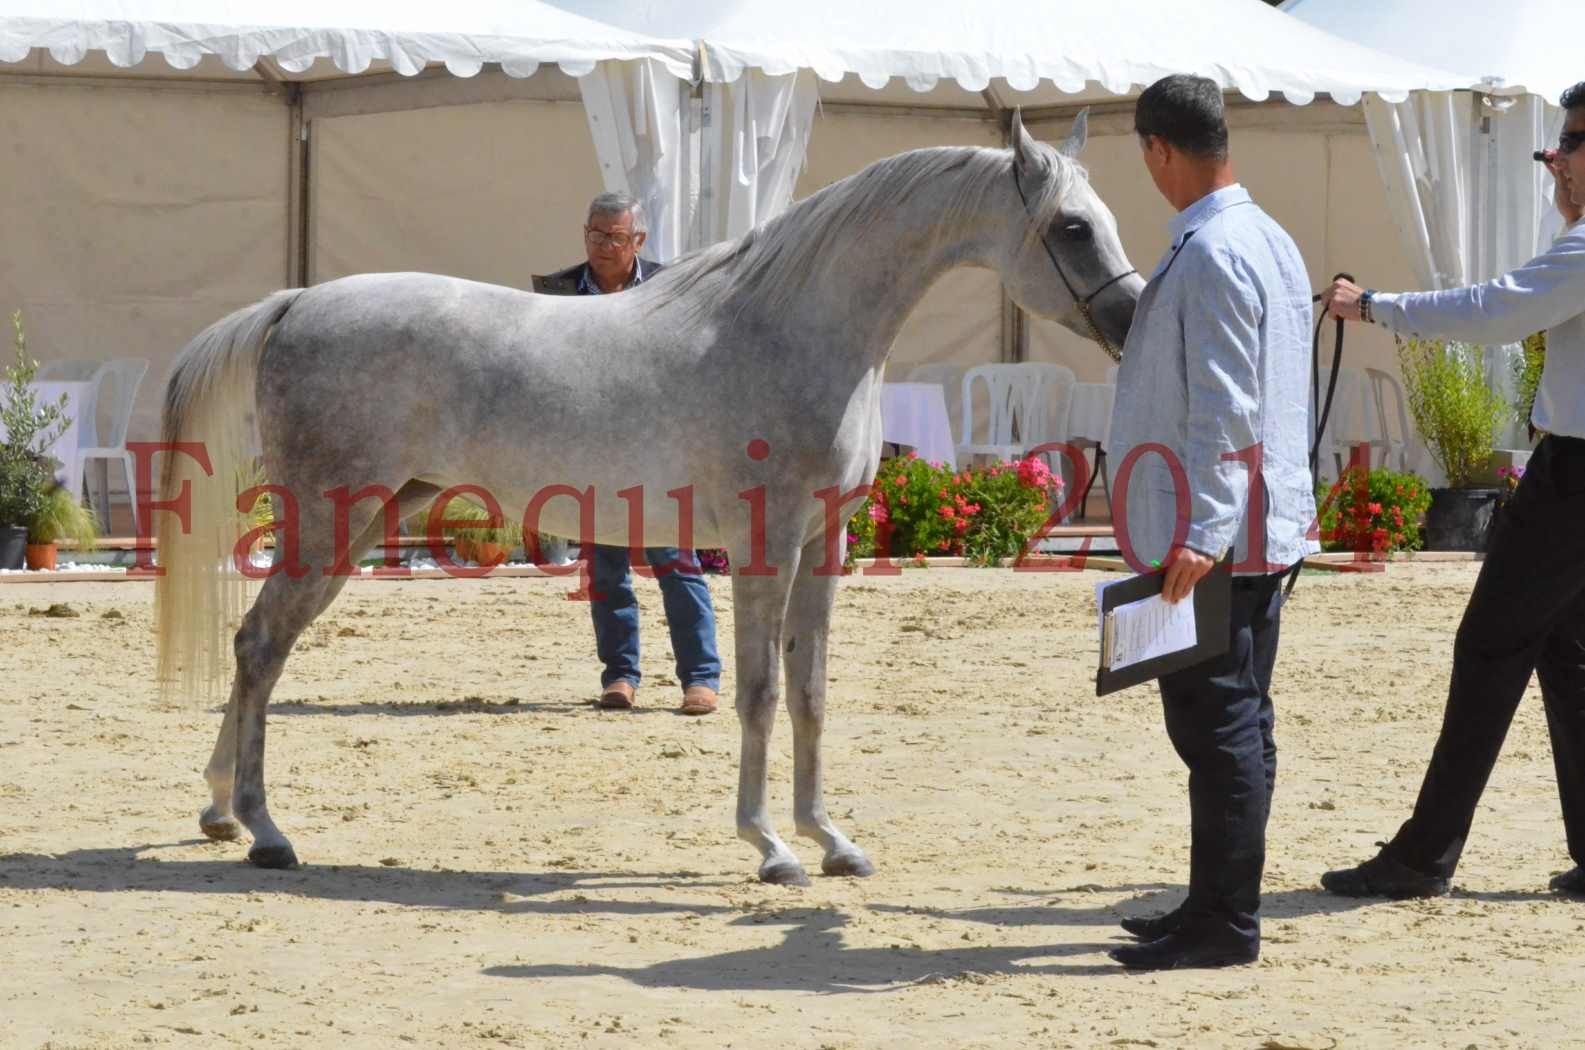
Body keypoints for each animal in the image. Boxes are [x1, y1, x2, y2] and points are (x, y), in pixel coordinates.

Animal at [157, 113, 1141, 888]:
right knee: (258, 646)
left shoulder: (824, 543)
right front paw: (771, 848)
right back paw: (267, 832)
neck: (790, 328)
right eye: (1072, 226)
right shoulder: (764, 542)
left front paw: (833, 841)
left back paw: (221, 813)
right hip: (329, 518)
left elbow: (811, 689)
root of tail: (295, 302)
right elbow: (758, 691)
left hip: (363, 522)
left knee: (264, 645)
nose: (1132, 320)